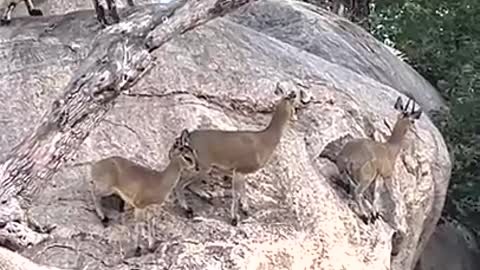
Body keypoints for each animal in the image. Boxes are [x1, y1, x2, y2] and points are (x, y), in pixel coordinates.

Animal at [171, 85, 310, 226]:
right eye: (295, 106)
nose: (295, 118)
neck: (264, 140)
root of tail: (186, 138)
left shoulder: (241, 172)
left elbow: (243, 191)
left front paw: (245, 209)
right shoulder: (239, 170)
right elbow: (236, 194)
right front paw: (234, 219)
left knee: (189, 185)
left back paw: (207, 196)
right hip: (202, 167)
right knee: (180, 184)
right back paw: (188, 209)